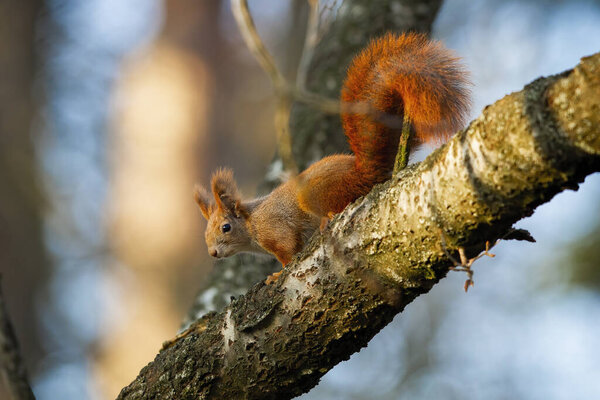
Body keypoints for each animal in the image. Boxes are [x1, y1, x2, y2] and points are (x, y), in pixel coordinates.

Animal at [195, 32, 472, 282]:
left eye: (226, 227)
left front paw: (277, 274)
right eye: (206, 232)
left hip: (316, 193)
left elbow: (288, 250)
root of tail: (364, 171)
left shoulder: (274, 228)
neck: (251, 222)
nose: (212, 253)